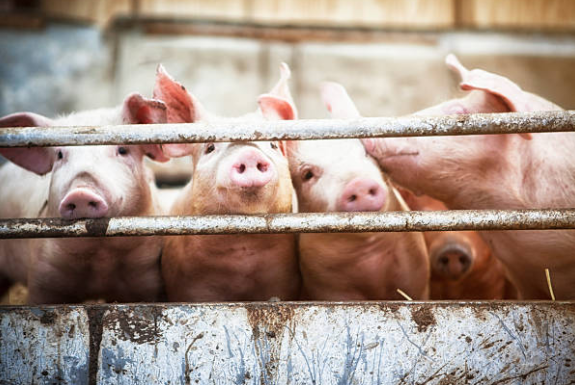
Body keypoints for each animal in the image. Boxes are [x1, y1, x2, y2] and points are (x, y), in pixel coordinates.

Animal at [0, 93, 171, 304]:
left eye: (122, 150)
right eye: (59, 154)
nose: (81, 192)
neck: (101, 257)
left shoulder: (148, 278)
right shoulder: (44, 276)